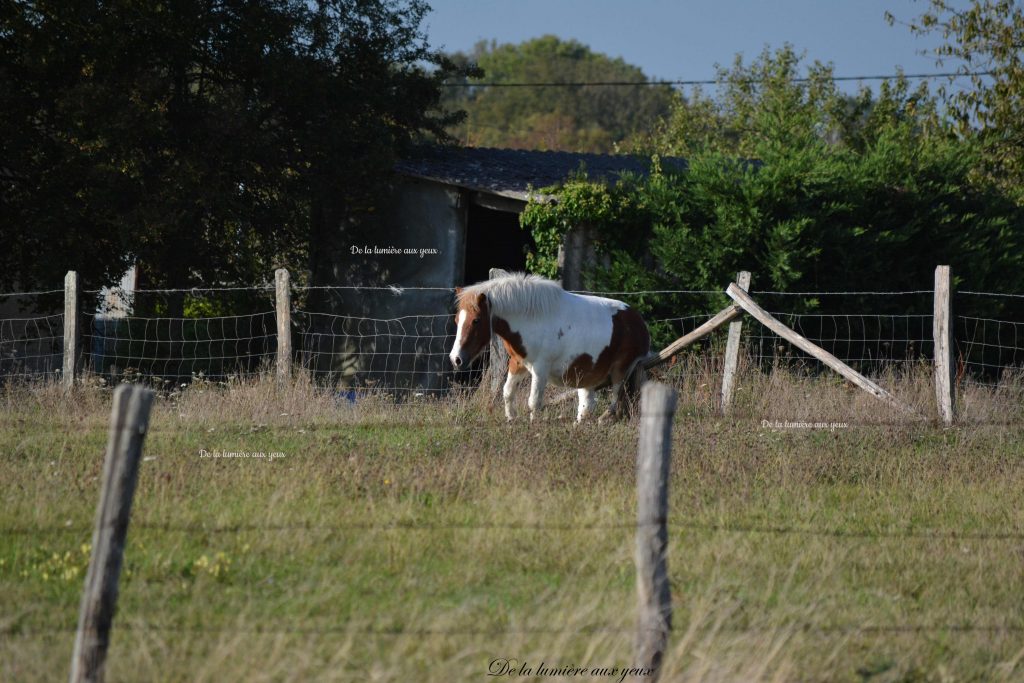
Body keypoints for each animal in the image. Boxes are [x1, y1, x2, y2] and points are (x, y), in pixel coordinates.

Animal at [446, 272, 647, 421]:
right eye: (456, 320)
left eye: (476, 321)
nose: (456, 359)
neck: (532, 318)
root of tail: (639, 321)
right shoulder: (518, 363)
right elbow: (508, 393)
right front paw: (511, 422)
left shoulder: (540, 369)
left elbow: (534, 402)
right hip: (588, 378)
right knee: (587, 407)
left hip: (620, 372)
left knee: (615, 404)